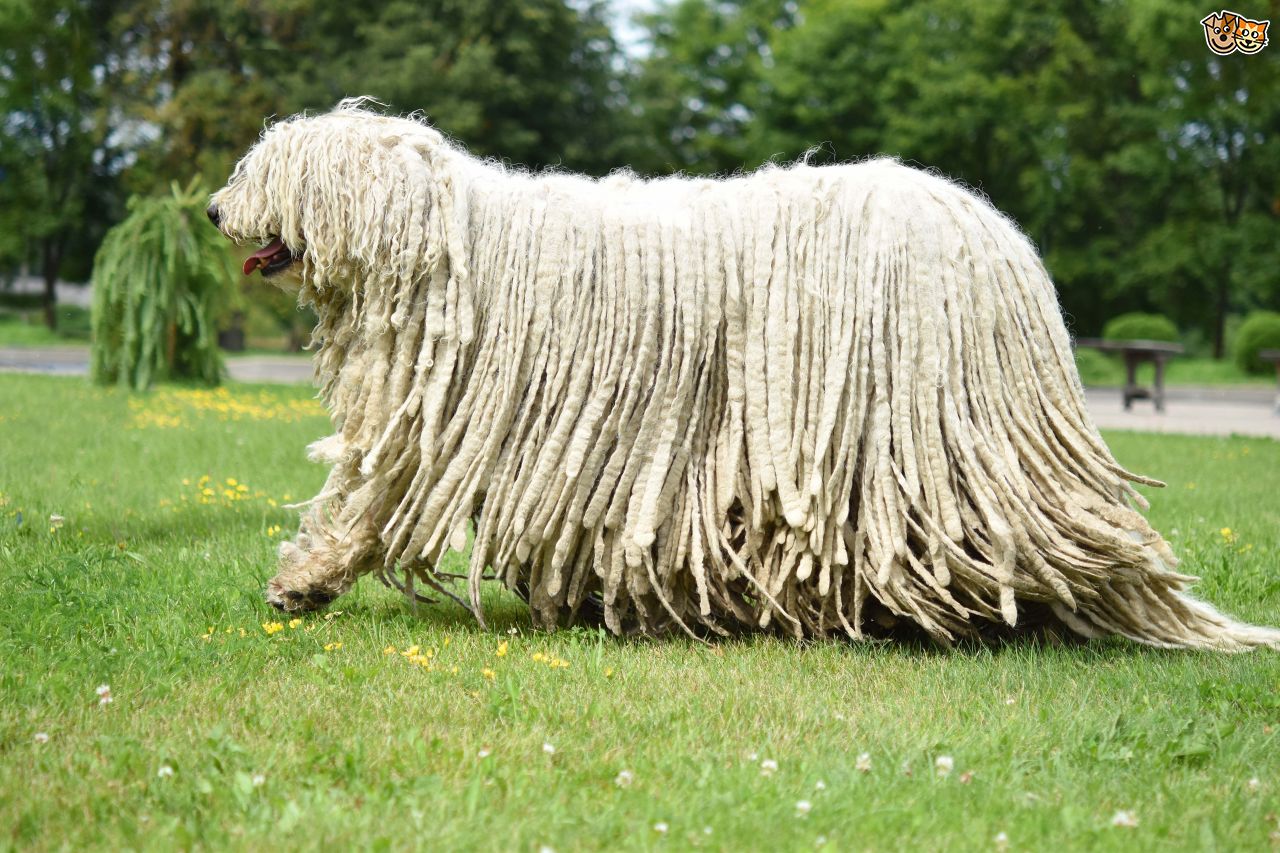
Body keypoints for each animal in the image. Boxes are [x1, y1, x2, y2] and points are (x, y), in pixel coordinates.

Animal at [212, 97, 1280, 645]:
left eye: (269, 166)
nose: (218, 211)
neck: (450, 249)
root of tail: (998, 240)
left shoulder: (443, 420)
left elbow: (367, 493)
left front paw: (302, 579)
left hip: (927, 435)